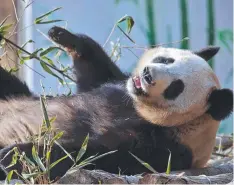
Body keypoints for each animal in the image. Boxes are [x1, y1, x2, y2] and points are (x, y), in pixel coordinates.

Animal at [0, 42, 232, 181]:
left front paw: (12, 156)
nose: (147, 75)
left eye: (176, 87)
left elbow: (91, 154)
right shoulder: (117, 90)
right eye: (166, 60)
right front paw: (68, 38)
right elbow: (97, 78)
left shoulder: (163, 148)